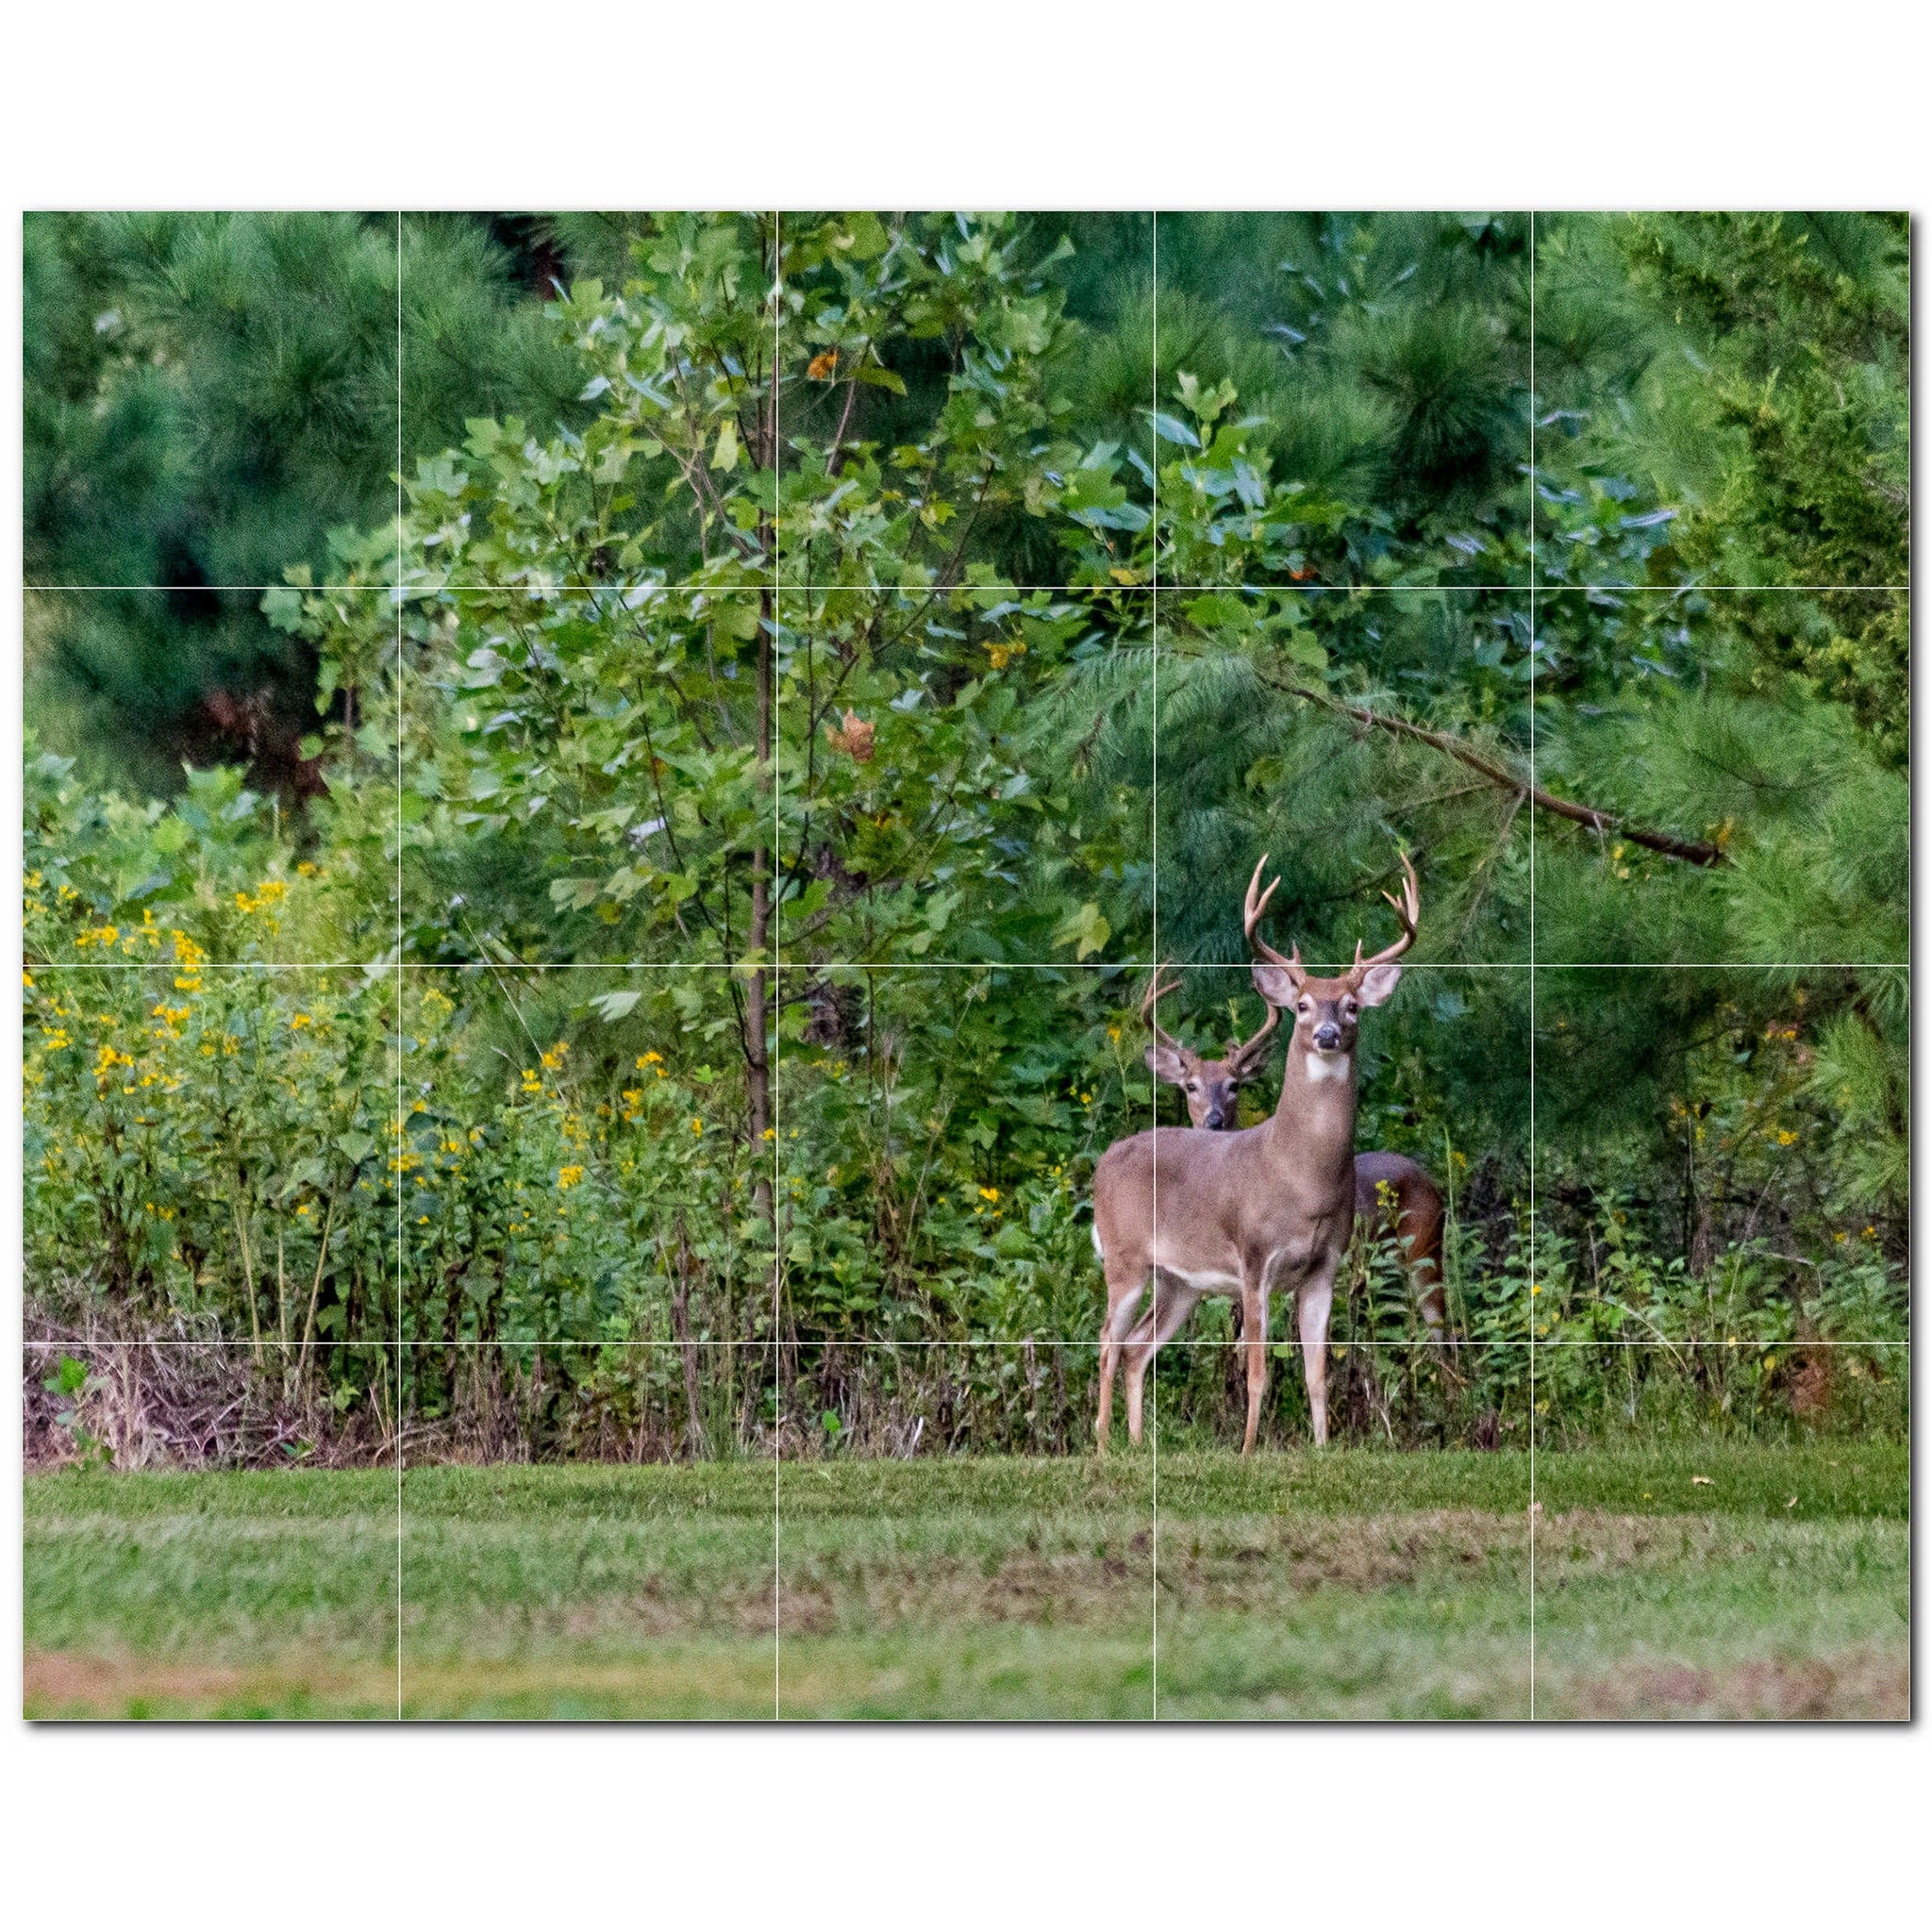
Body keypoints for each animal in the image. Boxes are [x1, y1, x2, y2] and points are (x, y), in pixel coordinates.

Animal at [1097, 850, 1429, 1453]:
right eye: (1301, 1004)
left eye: (1352, 1006)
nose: (1326, 1034)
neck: (1299, 1175)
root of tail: (1104, 1161)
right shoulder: (1254, 1261)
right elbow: (1257, 1371)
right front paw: (1249, 1450)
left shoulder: (1324, 1266)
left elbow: (1317, 1372)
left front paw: (1323, 1448)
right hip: (1124, 1257)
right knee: (1108, 1339)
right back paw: (1103, 1443)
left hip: (1180, 1281)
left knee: (1136, 1346)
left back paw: (1135, 1445)